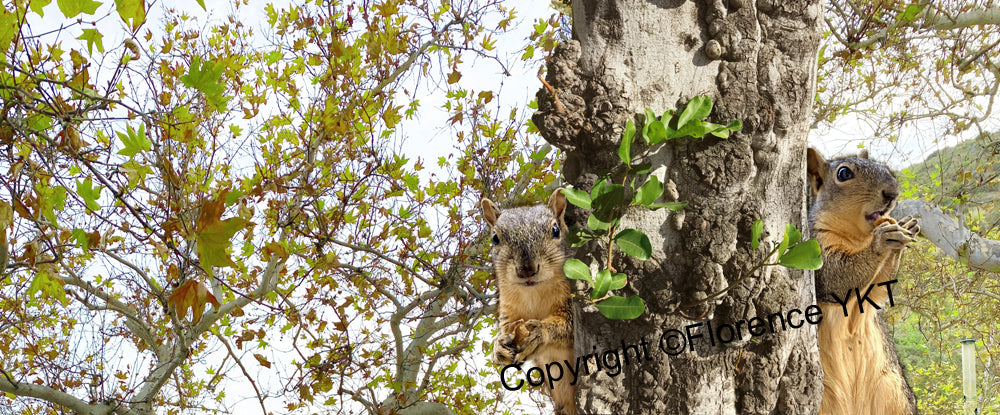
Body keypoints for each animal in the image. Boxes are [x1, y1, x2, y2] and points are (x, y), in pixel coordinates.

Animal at [478, 189, 576, 415]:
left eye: (555, 230)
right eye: (495, 238)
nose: (526, 270)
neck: (534, 294)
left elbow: (569, 324)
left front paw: (541, 332)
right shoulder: (509, 309)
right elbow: (506, 328)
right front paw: (498, 347)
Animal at [804, 149, 920, 415]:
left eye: (884, 167)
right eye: (843, 173)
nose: (892, 193)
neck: (857, 239)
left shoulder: (872, 294)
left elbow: (878, 290)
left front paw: (904, 228)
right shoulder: (816, 251)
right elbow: (838, 277)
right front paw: (882, 240)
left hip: (896, 395)